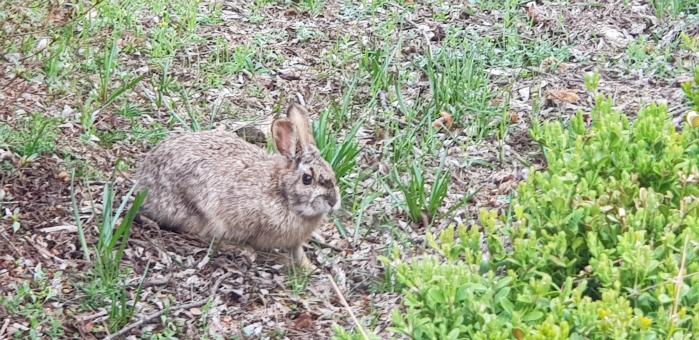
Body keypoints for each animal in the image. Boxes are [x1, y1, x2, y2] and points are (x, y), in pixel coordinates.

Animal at [134, 102, 342, 270]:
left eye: (332, 172)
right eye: (307, 179)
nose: (333, 201)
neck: (283, 193)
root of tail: (143, 182)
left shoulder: (295, 241)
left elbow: (298, 252)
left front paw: (310, 268)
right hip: (199, 211)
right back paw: (243, 250)